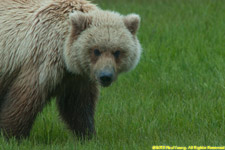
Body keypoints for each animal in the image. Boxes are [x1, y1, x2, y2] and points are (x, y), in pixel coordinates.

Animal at [0, 0, 141, 139]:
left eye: (117, 52)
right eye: (96, 51)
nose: (106, 76)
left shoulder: (78, 79)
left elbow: (77, 107)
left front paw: (87, 135)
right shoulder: (42, 61)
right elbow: (26, 98)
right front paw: (13, 135)